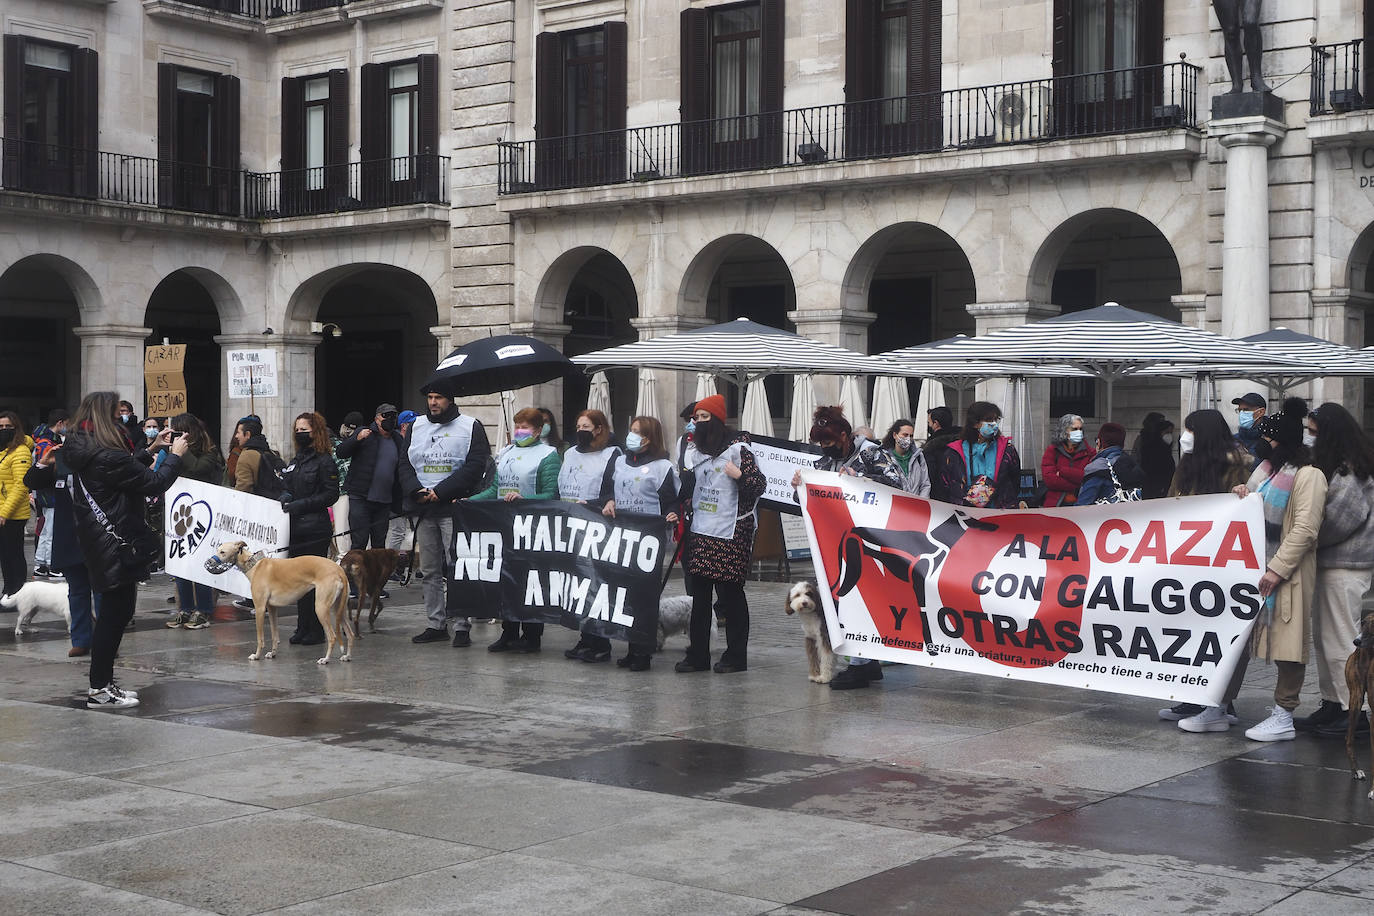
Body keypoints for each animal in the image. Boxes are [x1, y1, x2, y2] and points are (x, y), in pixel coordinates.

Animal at [206, 541, 354, 661]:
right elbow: (274, 635)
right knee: (350, 634)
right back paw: (347, 656)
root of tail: (339, 570)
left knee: (332, 636)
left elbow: (260, 638)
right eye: (217, 550)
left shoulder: (260, 608)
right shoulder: (272, 608)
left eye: (222, 552)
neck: (254, 565)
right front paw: (272, 653)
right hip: (337, 609)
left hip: (321, 608)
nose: (209, 563)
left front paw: (256, 655)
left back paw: (326, 659)